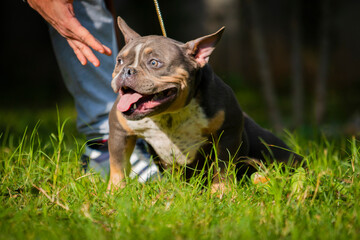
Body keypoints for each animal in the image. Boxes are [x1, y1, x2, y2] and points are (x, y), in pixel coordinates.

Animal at [108, 15, 302, 190]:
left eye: (154, 63)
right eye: (119, 61)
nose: (127, 70)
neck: (169, 114)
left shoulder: (227, 132)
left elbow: (223, 168)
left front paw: (221, 192)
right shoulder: (119, 131)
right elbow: (118, 165)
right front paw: (115, 191)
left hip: (269, 147)